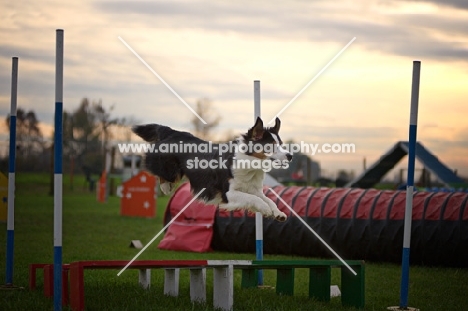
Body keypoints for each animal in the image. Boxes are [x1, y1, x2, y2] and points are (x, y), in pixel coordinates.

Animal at [133, 117, 292, 222]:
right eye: (270, 146)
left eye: (281, 144)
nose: (290, 156)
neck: (250, 164)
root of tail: (172, 132)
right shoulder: (228, 193)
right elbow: (253, 199)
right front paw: (265, 209)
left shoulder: (251, 188)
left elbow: (268, 199)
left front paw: (278, 213)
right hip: (169, 169)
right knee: (157, 169)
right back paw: (166, 187)